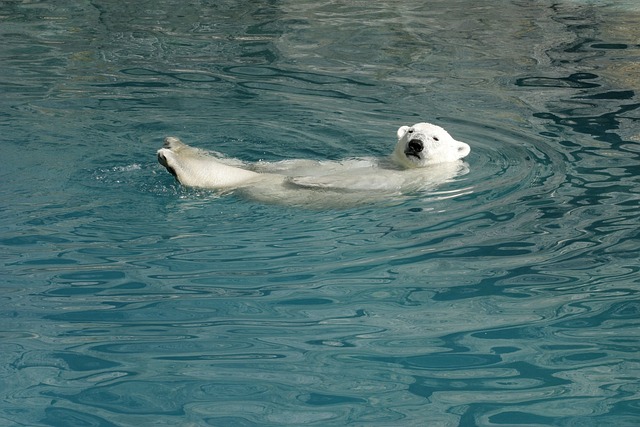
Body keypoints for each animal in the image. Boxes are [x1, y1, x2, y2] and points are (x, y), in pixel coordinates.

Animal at [156, 122, 470, 207]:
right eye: (410, 130)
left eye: (435, 138)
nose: (415, 144)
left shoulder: (412, 180)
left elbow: (361, 181)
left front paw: (306, 181)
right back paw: (174, 145)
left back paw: (173, 160)